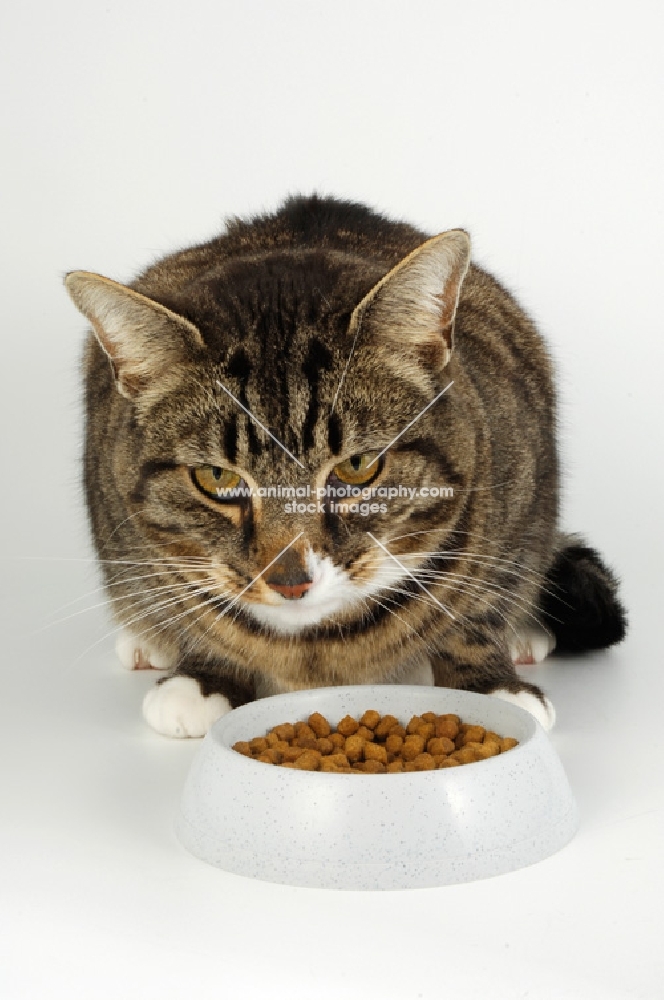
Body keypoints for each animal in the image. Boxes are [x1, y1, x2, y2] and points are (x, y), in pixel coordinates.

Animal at [65, 197, 624, 736]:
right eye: (217, 477)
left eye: (356, 466)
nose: (290, 580)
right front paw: (204, 674)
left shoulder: (519, 494)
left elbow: (481, 603)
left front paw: (487, 684)